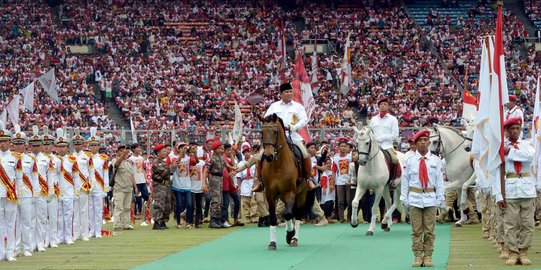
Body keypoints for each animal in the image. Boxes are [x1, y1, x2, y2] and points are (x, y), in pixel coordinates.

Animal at [260, 113, 314, 250]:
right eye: (262, 132)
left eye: (275, 132)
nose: (268, 156)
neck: (277, 165)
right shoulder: (270, 193)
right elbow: (273, 217)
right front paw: (272, 242)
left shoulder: (290, 192)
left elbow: (289, 214)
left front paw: (290, 234)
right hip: (283, 195)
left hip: (301, 194)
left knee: (297, 214)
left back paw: (294, 238)